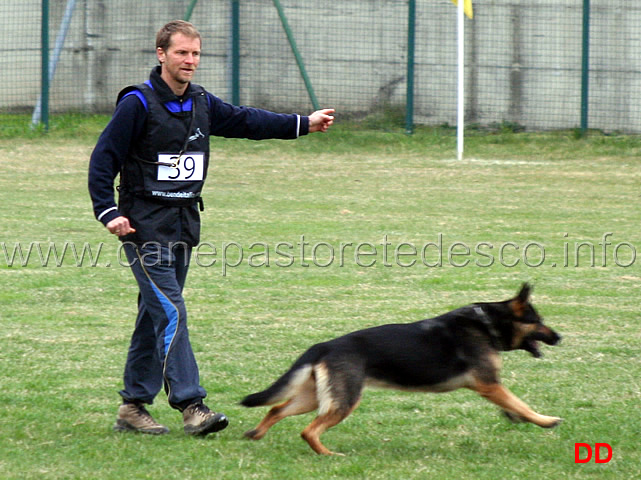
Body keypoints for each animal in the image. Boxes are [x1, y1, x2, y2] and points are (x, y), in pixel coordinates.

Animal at [240, 284, 560, 456]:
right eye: (538, 321)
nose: (559, 337)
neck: (487, 324)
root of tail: (324, 346)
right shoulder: (490, 385)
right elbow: (520, 402)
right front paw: (545, 421)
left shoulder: (491, 387)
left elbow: (513, 405)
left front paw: (517, 417)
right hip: (345, 400)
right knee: (308, 430)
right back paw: (328, 454)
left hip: (314, 397)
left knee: (276, 409)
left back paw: (255, 434)